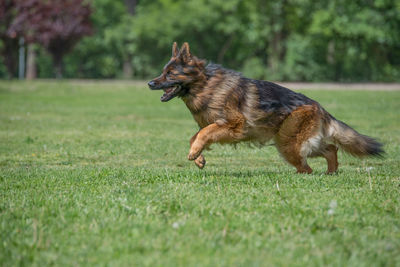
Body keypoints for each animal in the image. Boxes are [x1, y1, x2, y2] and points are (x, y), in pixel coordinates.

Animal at [148, 42, 384, 174]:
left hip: (289, 144)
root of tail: (319, 107)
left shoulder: (234, 125)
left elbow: (204, 133)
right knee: (331, 149)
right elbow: (195, 136)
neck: (206, 86)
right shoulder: (213, 124)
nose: (150, 83)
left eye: (170, 74)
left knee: (308, 166)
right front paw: (197, 155)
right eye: (162, 72)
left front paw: (195, 152)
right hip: (292, 142)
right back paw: (331, 172)